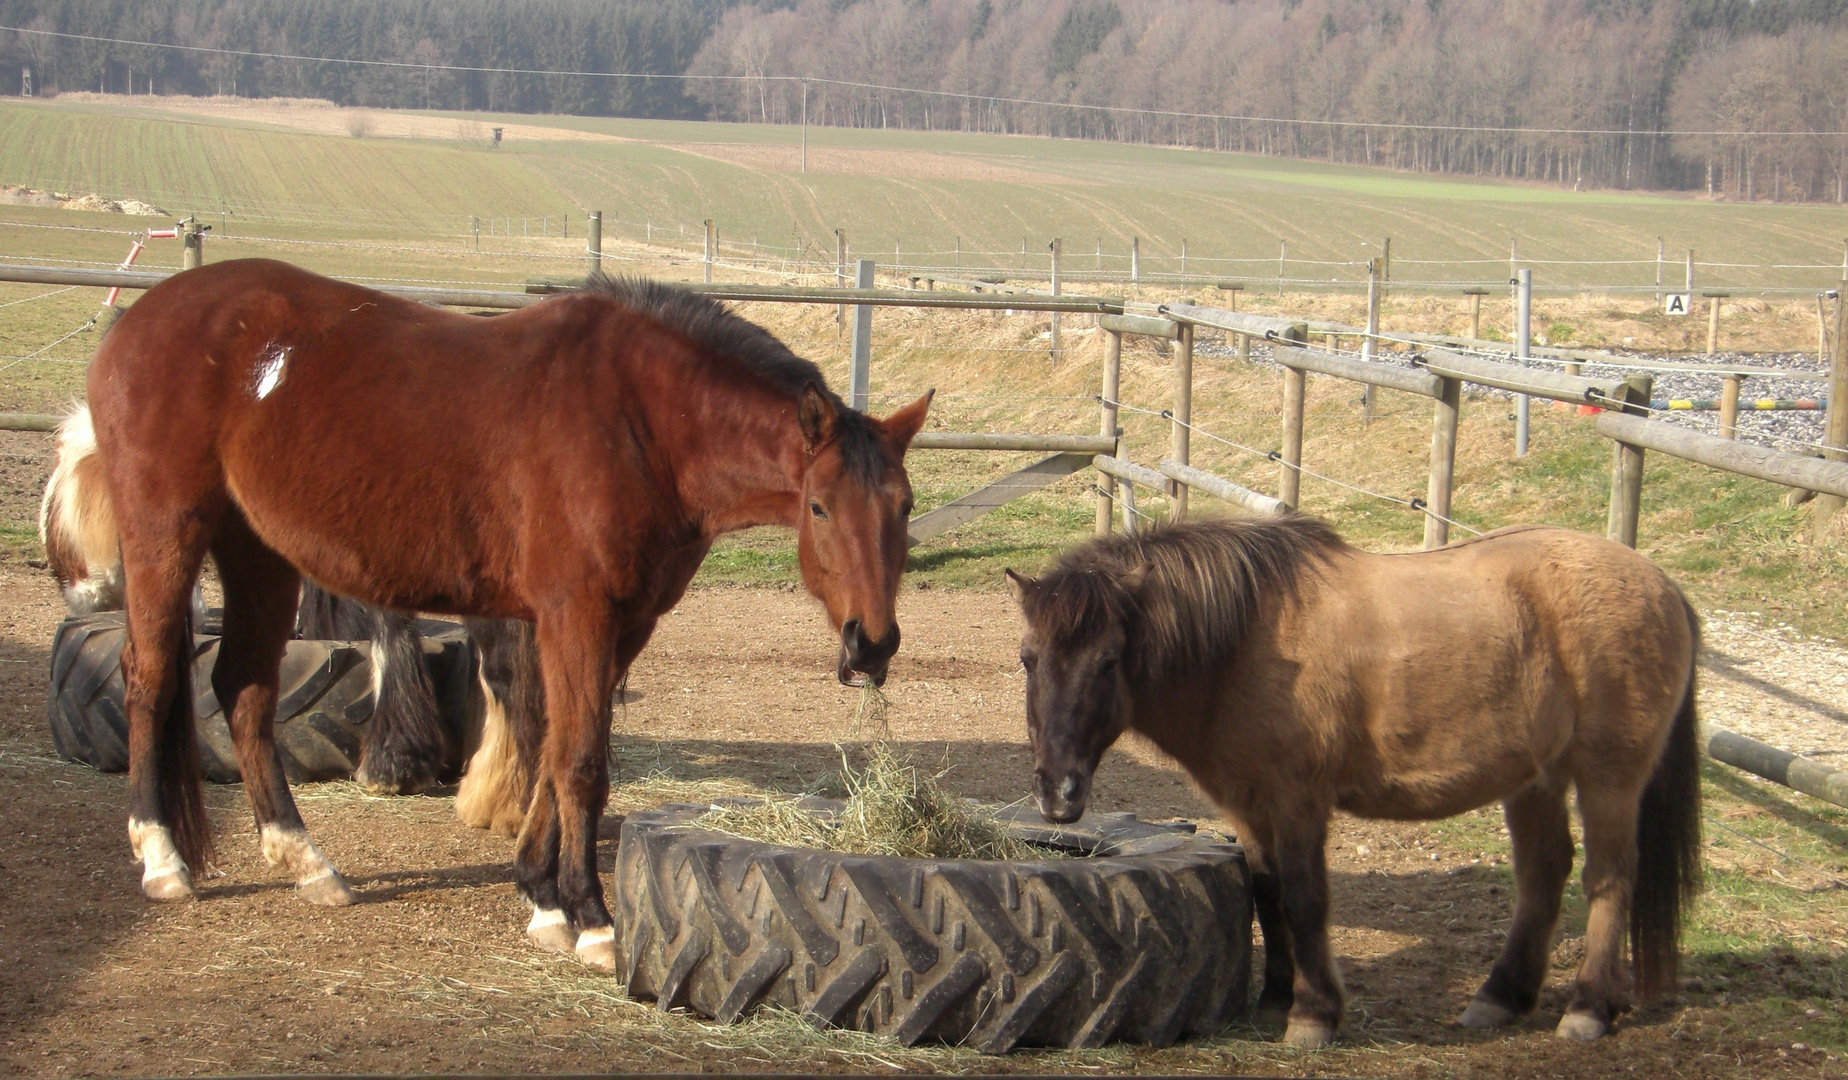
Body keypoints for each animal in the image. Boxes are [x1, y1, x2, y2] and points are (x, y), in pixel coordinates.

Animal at [81, 258, 931, 969]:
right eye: (819, 507)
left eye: (904, 504)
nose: (872, 644)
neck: (640, 418)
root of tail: (139, 318)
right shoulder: (576, 614)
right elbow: (580, 760)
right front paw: (590, 916)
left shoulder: (627, 621)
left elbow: (554, 748)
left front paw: (541, 895)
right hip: (167, 536)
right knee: (150, 679)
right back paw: (162, 858)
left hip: (258, 553)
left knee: (245, 691)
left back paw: (304, 860)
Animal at [1012, 517, 1700, 1050]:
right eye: (1028, 658)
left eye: (1108, 661)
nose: (1058, 794)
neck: (1249, 641)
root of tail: (1662, 584)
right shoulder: (1246, 805)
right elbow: (1266, 894)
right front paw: (1274, 999)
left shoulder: (1297, 803)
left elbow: (1305, 899)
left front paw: (1313, 1015)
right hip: (1536, 777)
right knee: (1543, 873)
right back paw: (1500, 998)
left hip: (1609, 777)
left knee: (1610, 878)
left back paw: (1588, 1007)